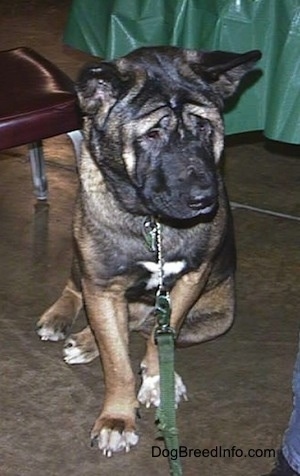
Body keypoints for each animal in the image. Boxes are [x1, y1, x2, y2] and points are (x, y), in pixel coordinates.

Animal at [35, 46, 260, 456]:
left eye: (204, 126)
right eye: (153, 133)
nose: (204, 199)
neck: (151, 221)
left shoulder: (189, 281)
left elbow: (158, 334)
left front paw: (157, 381)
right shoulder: (102, 286)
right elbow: (117, 363)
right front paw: (117, 417)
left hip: (216, 320)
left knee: (140, 325)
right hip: (86, 270)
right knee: (83, 293)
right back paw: (64, 321)